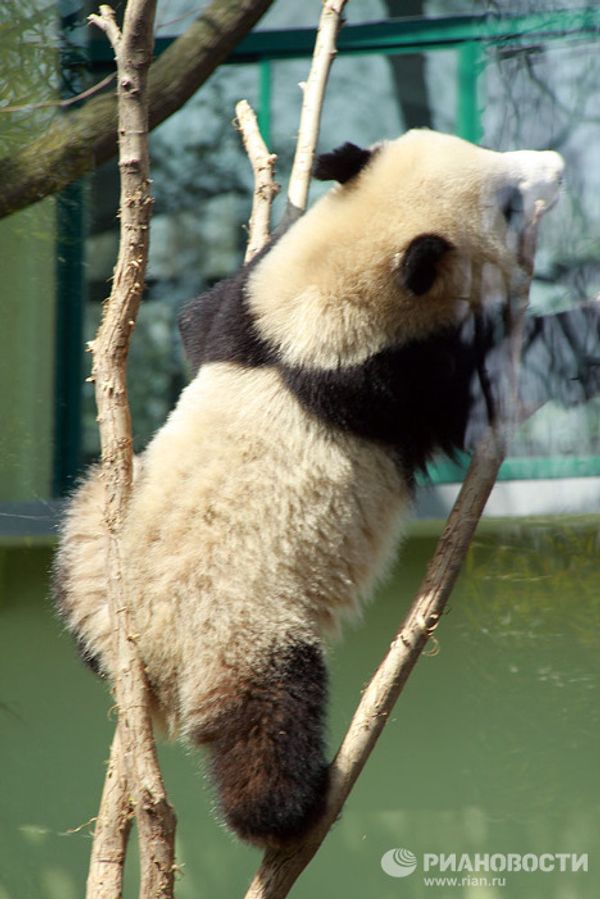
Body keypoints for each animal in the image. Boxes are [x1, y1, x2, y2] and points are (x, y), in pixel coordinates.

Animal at [54, 129, 600, 848]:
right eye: (509, 206)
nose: (556, 167)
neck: (322, 302)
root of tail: (152, 675)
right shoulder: (393, 380)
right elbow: (505, 382)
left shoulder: (246, 316)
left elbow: (198, 318)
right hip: (244, 632)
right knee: (268, 719)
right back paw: (292, 808)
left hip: (92, 547)